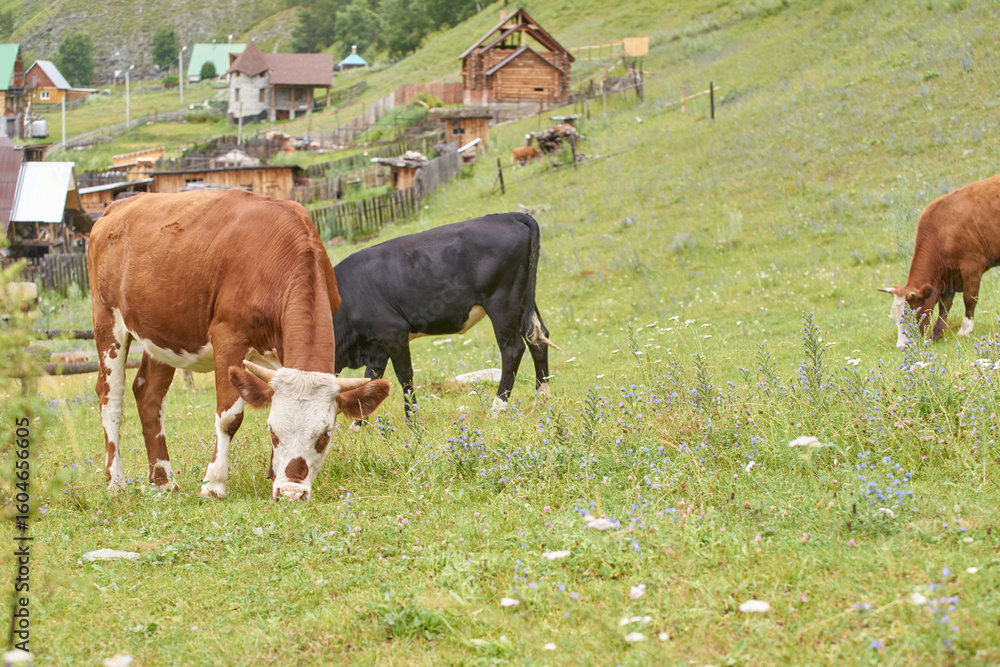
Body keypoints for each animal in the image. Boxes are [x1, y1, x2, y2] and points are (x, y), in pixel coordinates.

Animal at [88, 189, 390, 502]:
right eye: (273, 432)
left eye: (324, 435)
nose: (291, 492)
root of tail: (119, 205)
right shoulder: (228, 336)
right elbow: (229, 417)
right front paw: (214, 483)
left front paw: (272, 473)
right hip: (107, 321)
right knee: (110, 399)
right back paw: (117, 481)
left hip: (162, 333)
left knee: (148, 395)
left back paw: (163, 480)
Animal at [332, 212, 560, 418]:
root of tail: (509, 215)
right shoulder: (375, 347)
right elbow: (371, 380)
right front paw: (358, 424)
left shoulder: (393, 333)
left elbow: (404, 377)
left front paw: (413, 421)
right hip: (523, 300)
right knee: (537, 339)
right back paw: (541, 401)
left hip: (502, 302)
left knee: (513, 349)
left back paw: (496, 409)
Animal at [879, 174, 1000, 349]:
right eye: (894, 318)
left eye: (913, 316)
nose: (902, 346)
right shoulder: (947, 277)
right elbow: (944, 306)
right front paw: (937, 334)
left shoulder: (971, 267)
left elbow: (969, 298)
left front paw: (965, 330)